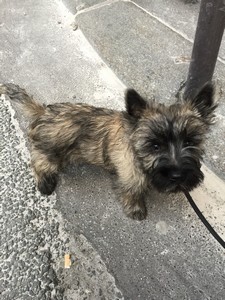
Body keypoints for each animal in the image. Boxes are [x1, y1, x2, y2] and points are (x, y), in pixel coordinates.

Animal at [0, 82, 218, 220]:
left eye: (190, 142)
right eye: (154, 145)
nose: (178, 175)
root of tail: (43, 111)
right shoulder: (131, 177)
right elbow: (132, 191)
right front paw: (136, 209)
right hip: (50, 153)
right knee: (38, 162)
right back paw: (45, 183)